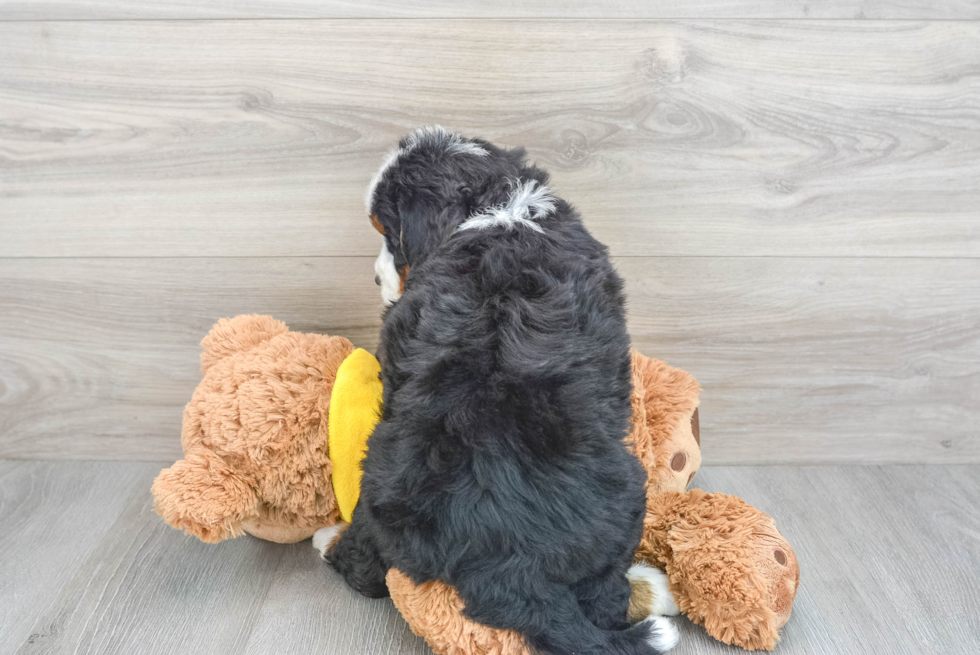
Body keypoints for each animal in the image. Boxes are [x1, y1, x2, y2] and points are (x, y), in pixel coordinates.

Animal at [326, 128, 676, 655]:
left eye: (388, 233)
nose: (374, 277)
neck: (499, 208)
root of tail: (509, 564)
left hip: (380, 487)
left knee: (369, 571)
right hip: (629, 495)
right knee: (603, 597)